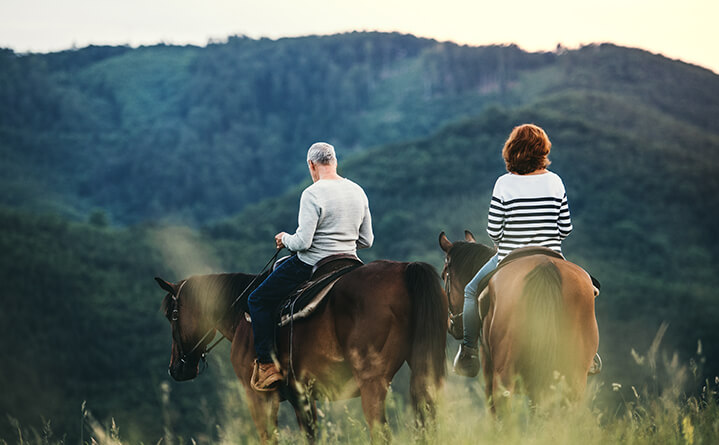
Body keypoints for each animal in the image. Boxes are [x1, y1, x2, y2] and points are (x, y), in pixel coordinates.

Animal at [155, 258, 448, 442]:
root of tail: (405, 269)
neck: (242, 315)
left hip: (372, 383)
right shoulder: (301, 397)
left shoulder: (259, 397)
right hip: (423, 373)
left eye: (172, 315)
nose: (176, 368)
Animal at [442, 231, 600, 408]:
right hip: (574, 377)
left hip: (504, 375)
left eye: (444, 275)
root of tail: (545, 266)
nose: (451, 325)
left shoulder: (489, 368)